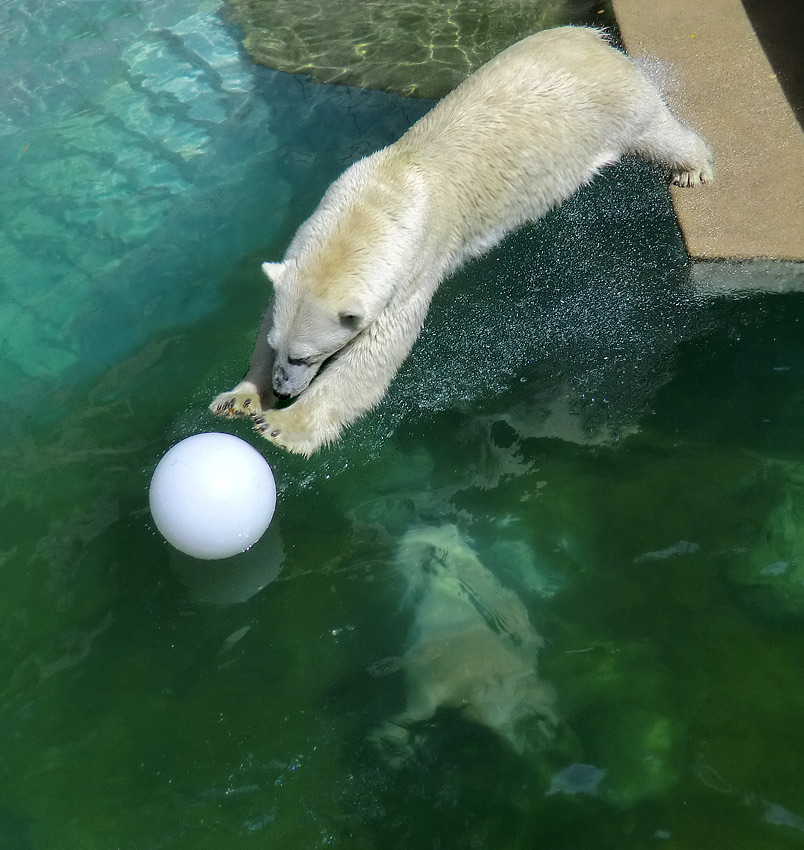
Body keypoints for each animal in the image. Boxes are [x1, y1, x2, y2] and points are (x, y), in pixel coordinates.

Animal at [210, 23, 712, 454]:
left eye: (305, 356)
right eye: (276, 347)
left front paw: (282, 426)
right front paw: (240, 399)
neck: (381, 198)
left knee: (659, 134)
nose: (282, 389)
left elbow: (373, 358)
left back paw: (694, 170)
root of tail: (590, 36)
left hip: (612, 106)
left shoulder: (414, 267)